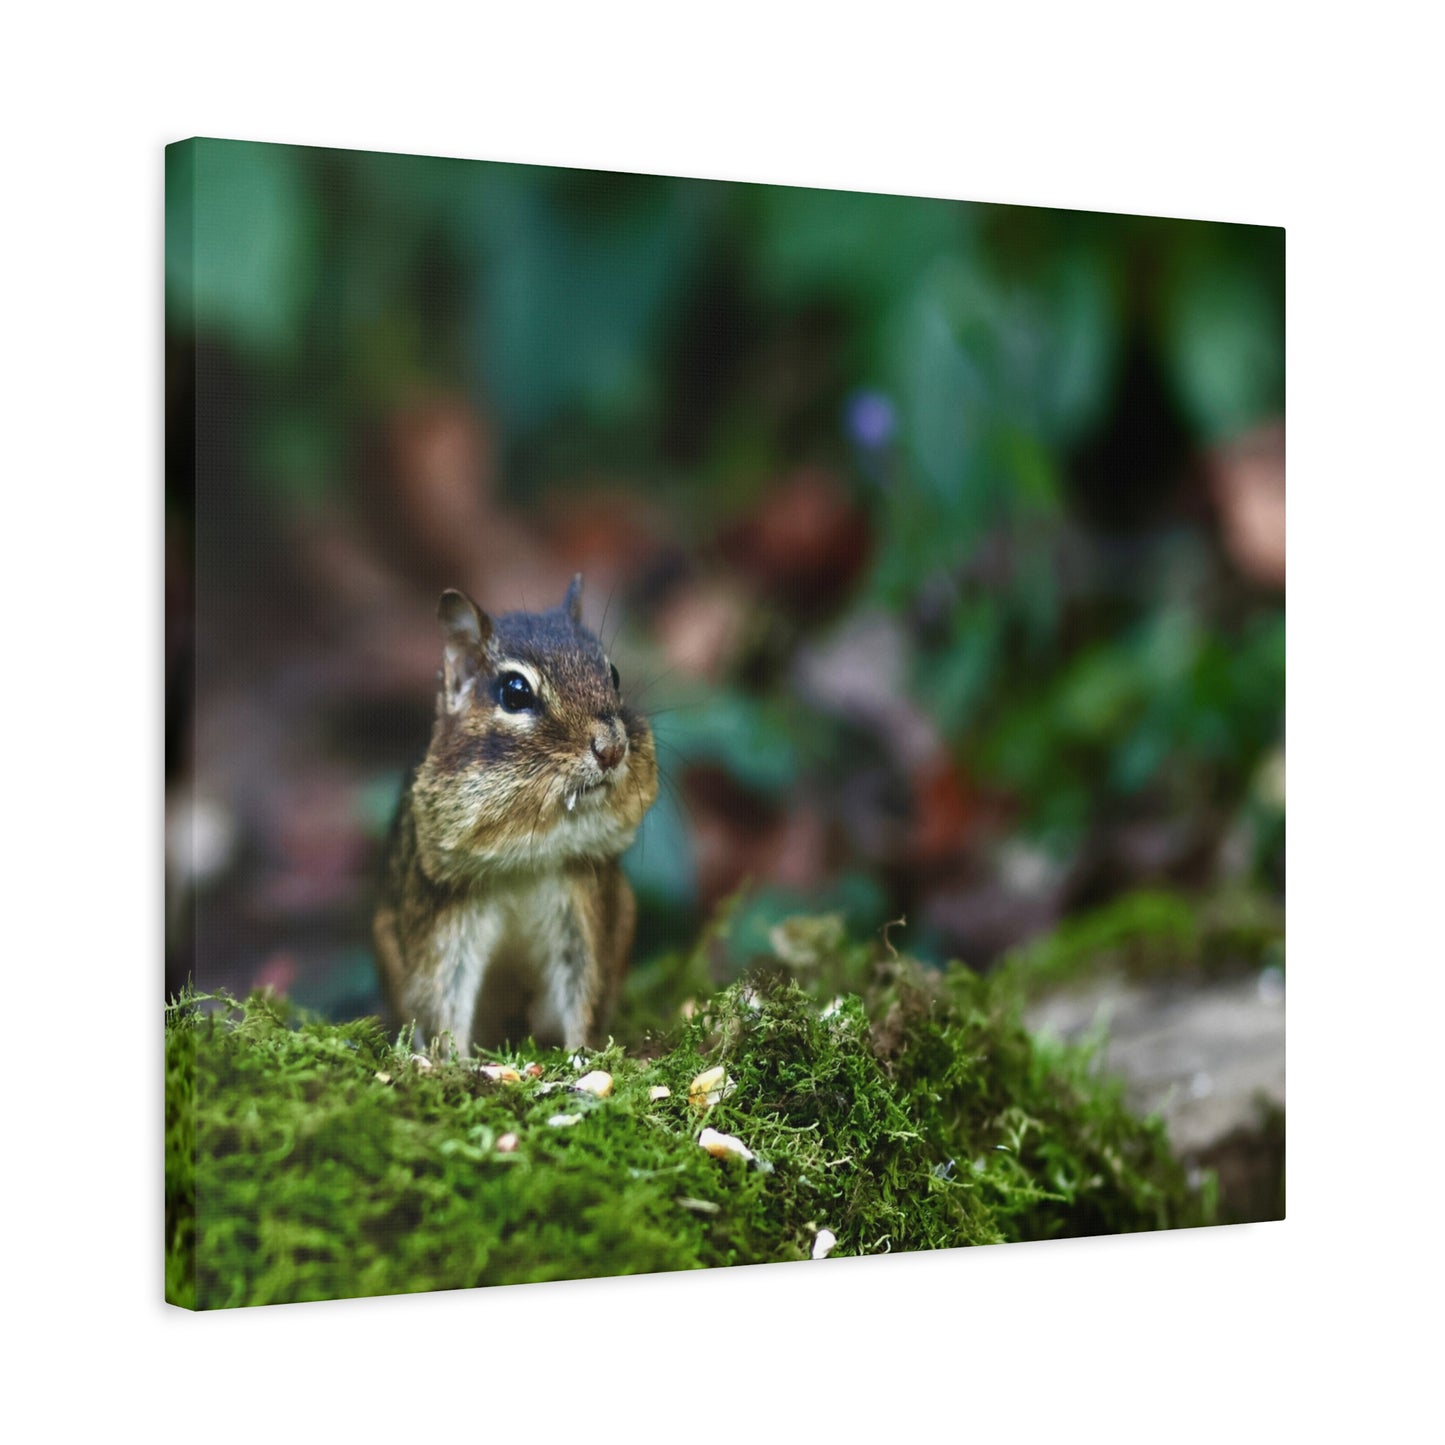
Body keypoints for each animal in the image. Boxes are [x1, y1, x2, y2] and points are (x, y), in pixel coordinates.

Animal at [374, 576, 658, 1055]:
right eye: (515, 692)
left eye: (614, 675)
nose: (612, 748)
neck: (528, 858)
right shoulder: (445, 918)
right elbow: (442, 996)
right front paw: (450, 1062)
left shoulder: (584, 905)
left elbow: (586, 988)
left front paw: (584, 1056)